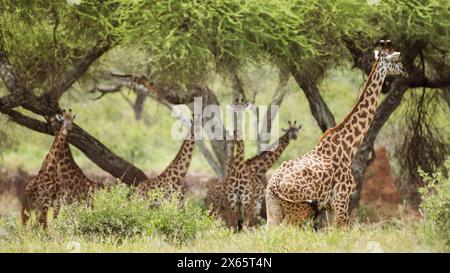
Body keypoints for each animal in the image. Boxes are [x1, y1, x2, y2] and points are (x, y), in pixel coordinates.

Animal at [266, 40, 410, 226]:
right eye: (397, 61)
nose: (405, 71)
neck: (348, 147)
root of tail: (274, 184)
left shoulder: (330, 206)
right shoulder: (341, 200)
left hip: (273, 208)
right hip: (299, 210)